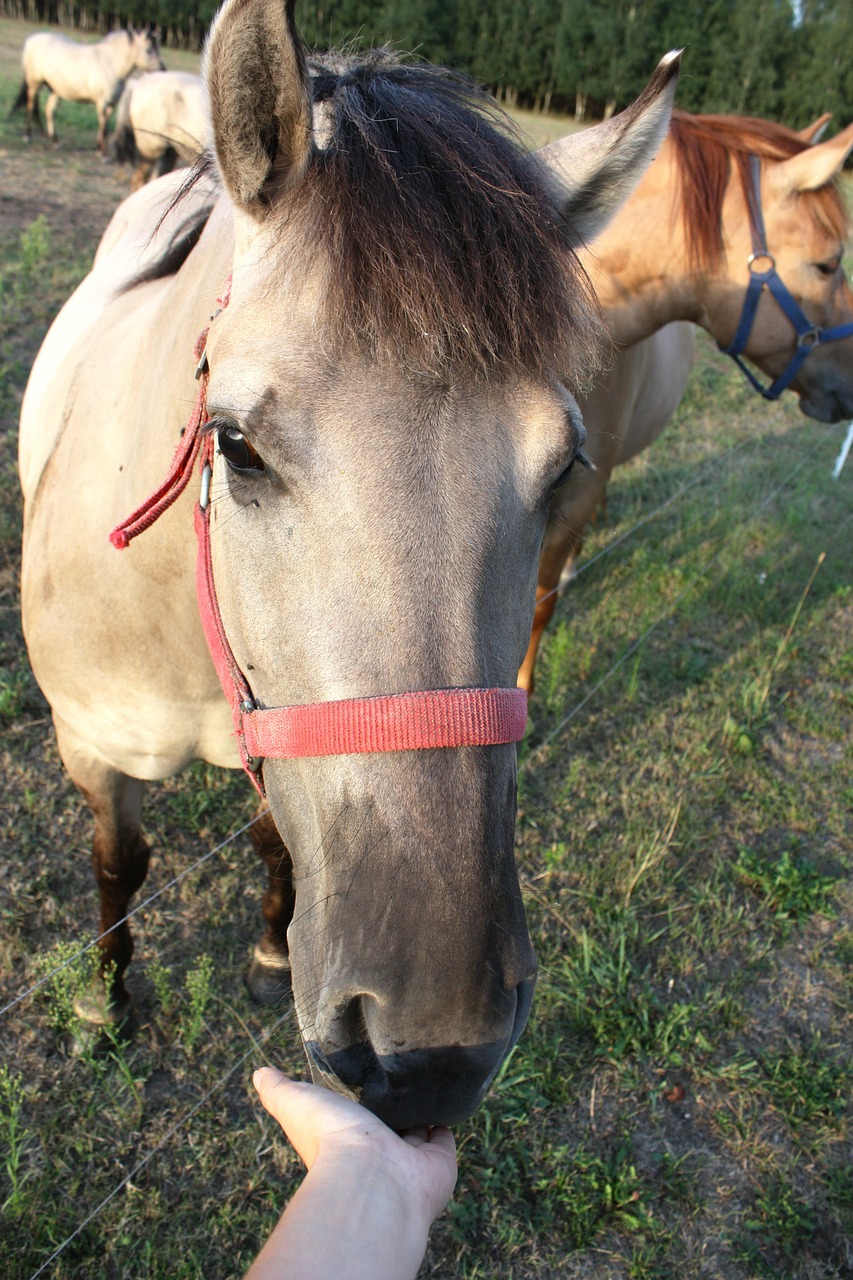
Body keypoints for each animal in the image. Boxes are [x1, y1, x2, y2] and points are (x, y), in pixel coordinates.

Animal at [13, 27, 163, 153]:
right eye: (148, 50)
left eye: (158, 49)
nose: (162, 69)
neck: (110, 63)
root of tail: (32, 40)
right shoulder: (102, 103)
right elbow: (103, 125)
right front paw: (102, 153)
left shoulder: (112, 104)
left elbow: (105, 124)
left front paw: (99, 146)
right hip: (34, 84)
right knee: (31, 106)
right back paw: (27, 136)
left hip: (55, 90)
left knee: (49, 111)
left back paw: (55, 141)